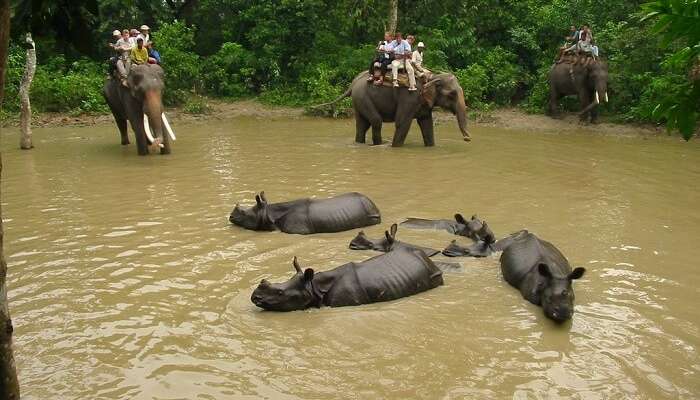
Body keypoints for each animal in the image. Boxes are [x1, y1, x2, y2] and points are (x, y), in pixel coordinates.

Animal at [316, 71, 470, 147]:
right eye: (452, 94)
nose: (467, 138)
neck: (431, 77)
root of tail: (353, 84)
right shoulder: (409, 97)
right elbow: (402, 123)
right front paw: (395, 148)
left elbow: (427, 124)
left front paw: (431, 147)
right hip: (363, 98)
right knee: (376, 121)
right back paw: (378, 145)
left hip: (358, 101)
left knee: (362, 125)